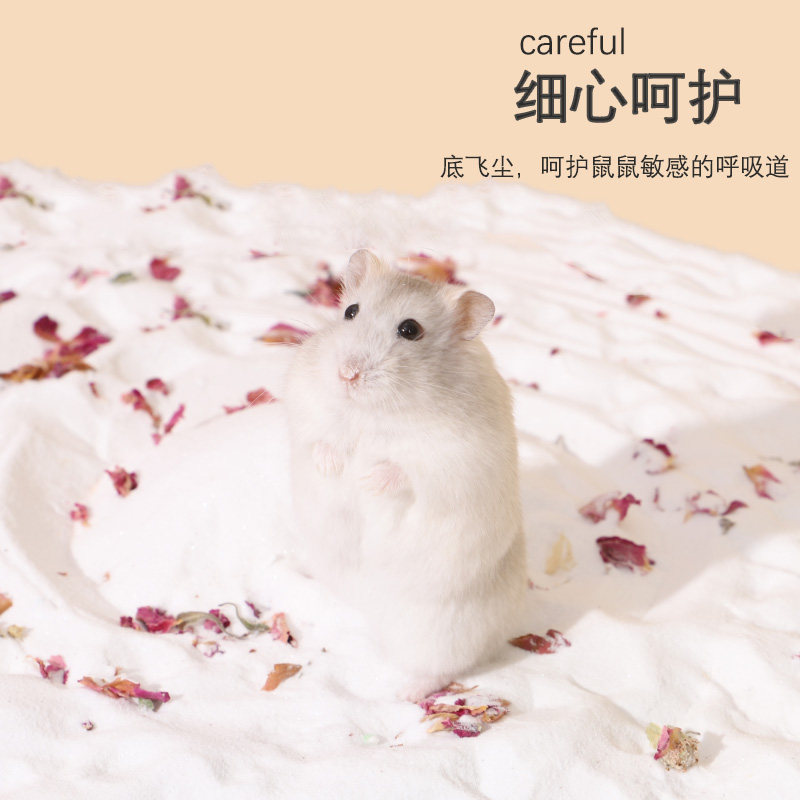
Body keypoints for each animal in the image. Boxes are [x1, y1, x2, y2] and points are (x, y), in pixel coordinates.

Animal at [285, 249, 527, 700]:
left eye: (410, 330)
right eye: (350, 311)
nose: (346, 374)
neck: (374, 409)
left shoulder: (455, 458)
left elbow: (404, 470)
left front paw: (366, 479)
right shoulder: (304, 399)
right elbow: (319, 438)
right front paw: (334, 466)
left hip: (435, 632)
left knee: (441, 669)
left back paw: (405, 694)